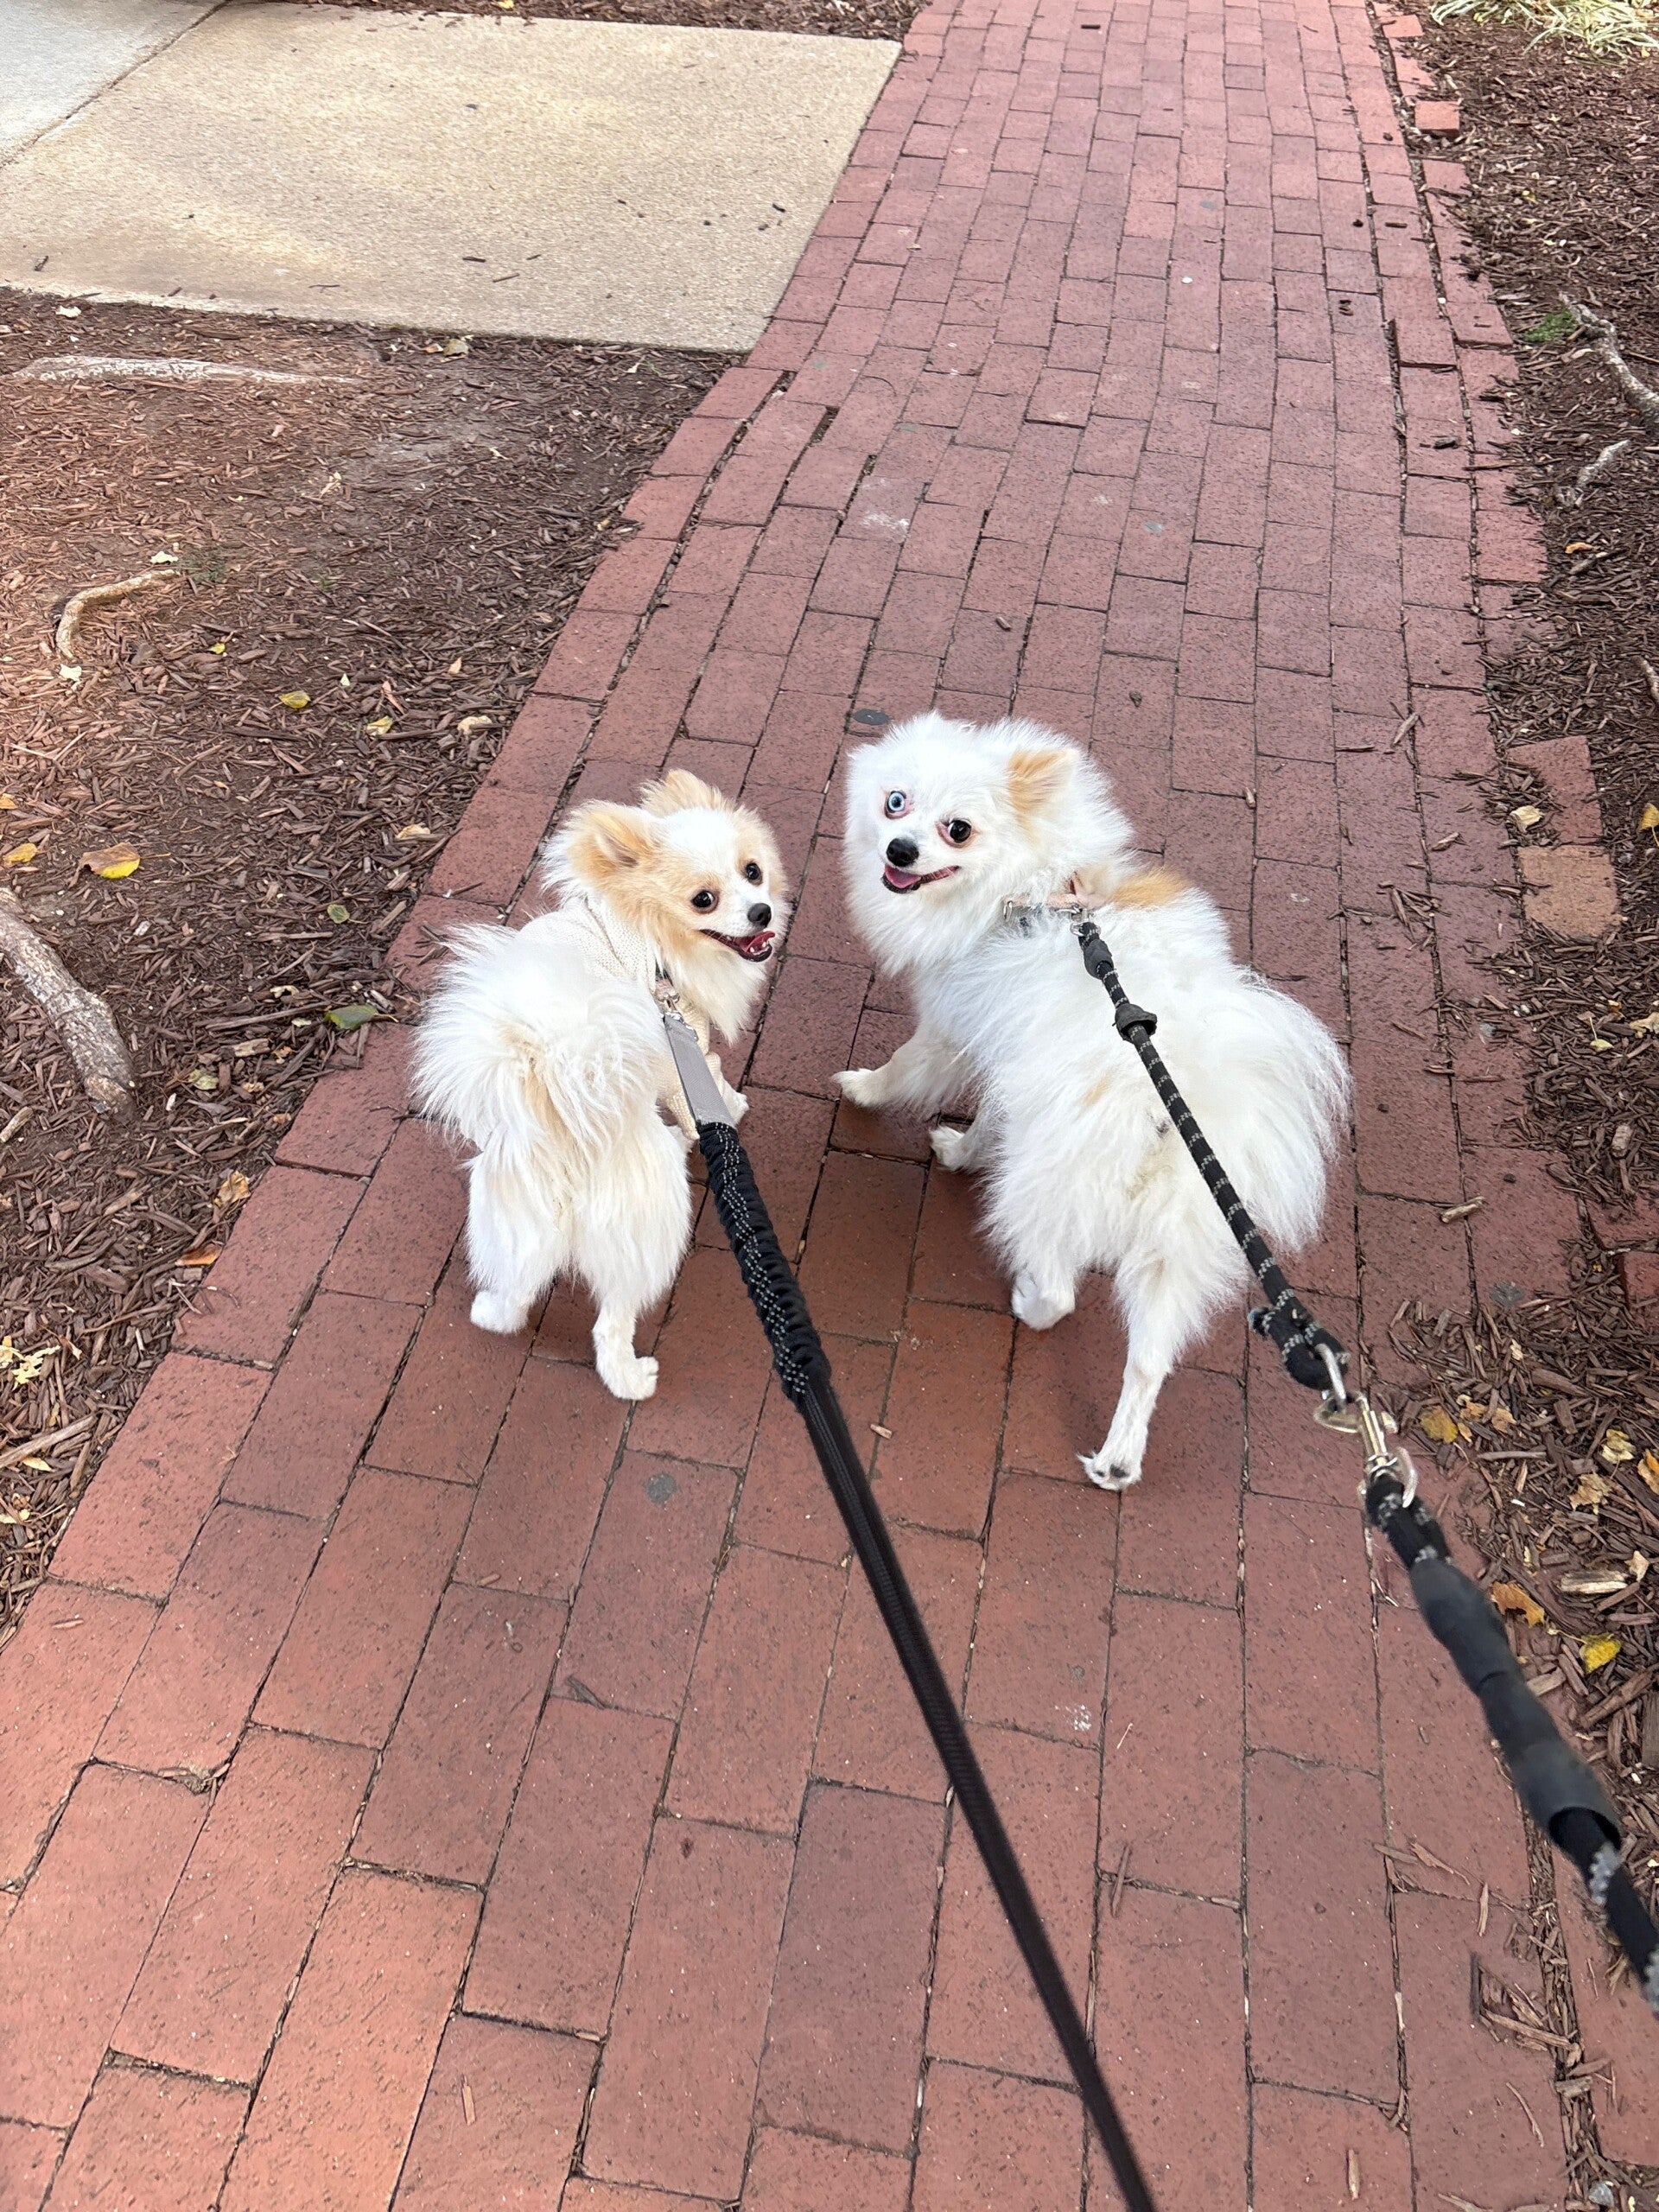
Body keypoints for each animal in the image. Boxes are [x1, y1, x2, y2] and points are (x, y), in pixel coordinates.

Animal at [413, 771, 787, 1400]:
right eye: (704, 899)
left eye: (753, 871)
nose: (761, 912)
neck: (647, 934)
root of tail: (560, 1126)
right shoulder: (679, 1042)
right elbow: (705, 1085)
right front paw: (728, 1109)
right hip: (644, 1228)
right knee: (612, 1321)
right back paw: (631, 1379)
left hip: (520, 1223)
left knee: (519, 1289)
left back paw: (494, 1313)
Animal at [837, 714, 1348, 1489]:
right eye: (896, 802)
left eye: (958, 830)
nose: (900, 849)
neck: (1030, 890)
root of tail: (1175, 1101)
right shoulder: (1016, 1064)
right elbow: (992, 1116)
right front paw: (965, 1145)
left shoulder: (960, 1031)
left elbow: (908, 1069)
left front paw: (871, 1093)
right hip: (1181, 1237)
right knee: (1149, 1359)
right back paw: (1117, 1459)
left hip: (1047, 1185)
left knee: (1060, 1291)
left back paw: (1028, 1301)